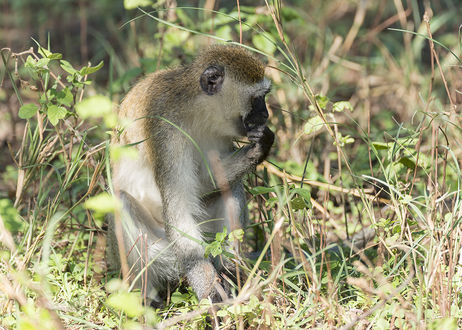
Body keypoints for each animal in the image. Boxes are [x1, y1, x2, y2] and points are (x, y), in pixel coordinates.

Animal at [107, 44, 274, 306]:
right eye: (257, 99)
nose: (266, 115)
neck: (196, 110)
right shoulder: (166, 132)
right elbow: (180, 209)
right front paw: (209, 289)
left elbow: (206, 181)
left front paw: (259, 148)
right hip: (162, 250)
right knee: (122, 202)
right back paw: (144, 300)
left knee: (231, 187)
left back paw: (229, 267)